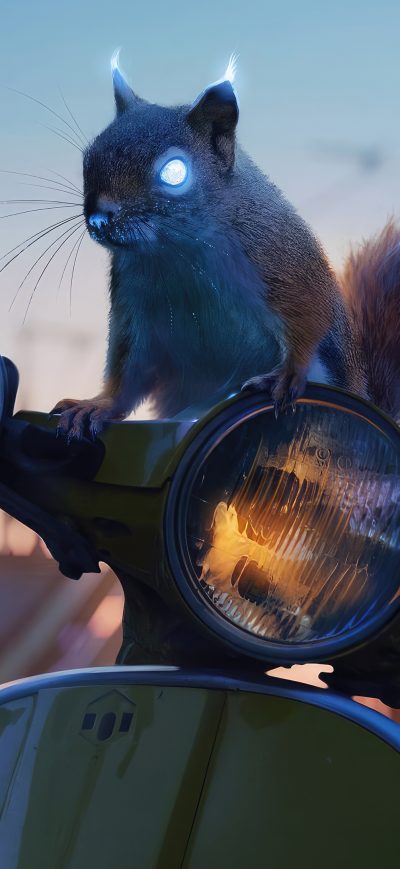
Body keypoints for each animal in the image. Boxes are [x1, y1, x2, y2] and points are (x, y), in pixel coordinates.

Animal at [52, 54, 399, 438]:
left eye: (174, 172)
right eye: (88, 157)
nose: (99, 218)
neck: (174, 251)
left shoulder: (279, 259)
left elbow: (310, 314)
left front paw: (288, 372)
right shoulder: (134, 304)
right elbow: (129, 367)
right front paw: (98, 406)